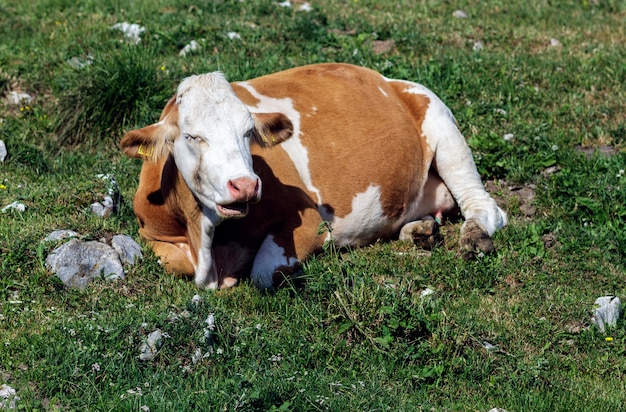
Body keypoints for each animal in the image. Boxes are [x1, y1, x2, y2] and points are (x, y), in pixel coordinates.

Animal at [119, 63, 504, 290]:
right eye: (191, 136)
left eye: (248, 132)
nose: (245, 185)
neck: (208, 238)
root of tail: (385, 79)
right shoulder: (152, 232)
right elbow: (173, 261)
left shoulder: (307, 221)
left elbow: (263, 273)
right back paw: (421, 230)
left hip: (442, 123)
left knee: (484, 206)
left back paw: (474, 237)